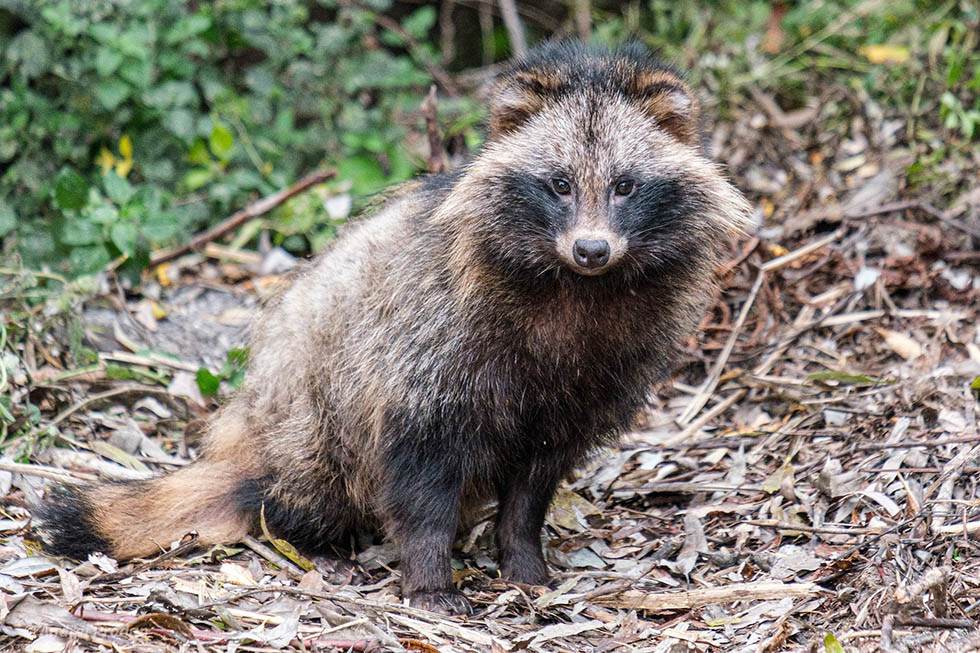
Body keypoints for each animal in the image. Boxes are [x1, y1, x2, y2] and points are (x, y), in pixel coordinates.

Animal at [40, 40, 752, 612]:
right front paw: (432, 577)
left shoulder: (592, 376)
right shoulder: (428, 350)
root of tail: (246, 444)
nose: (592, 249)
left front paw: (522, 556)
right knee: (311, 475)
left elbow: (535, 481)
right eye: (558, 184)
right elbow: (419, 472)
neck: (577, 289)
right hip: (306, 408)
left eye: (626, 186)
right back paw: (308, 538)